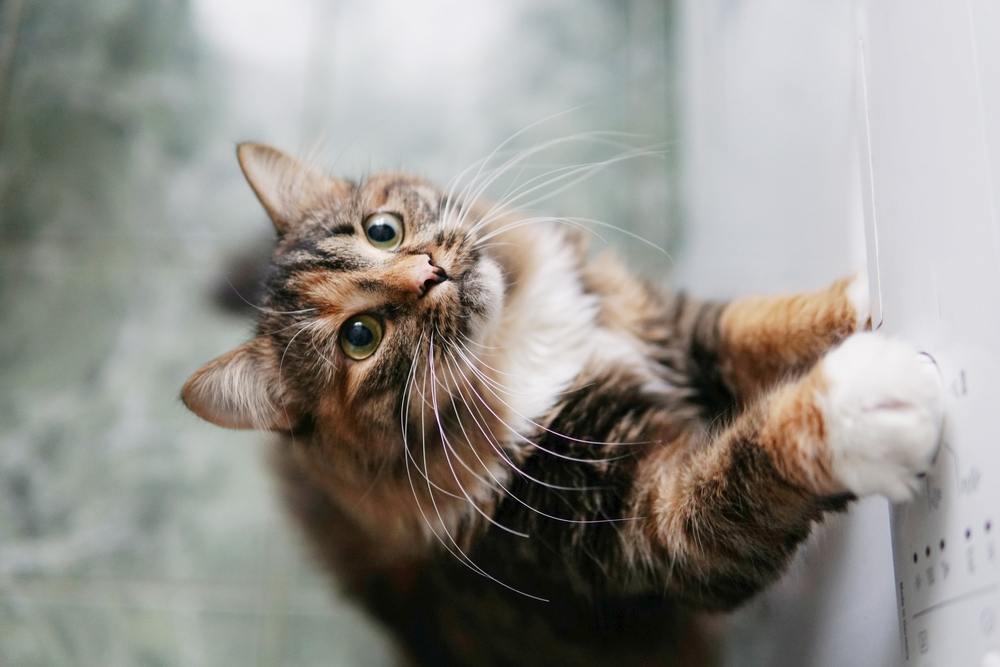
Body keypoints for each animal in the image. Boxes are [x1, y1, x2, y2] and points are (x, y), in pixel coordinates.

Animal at [182, 144, 944, 664]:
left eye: (383, 230)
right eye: (360, 336)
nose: (430, 274)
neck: (518, 344)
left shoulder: (675, 329)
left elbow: (764, 323)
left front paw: (864, 294)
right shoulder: (646, 523)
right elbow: (752, 457)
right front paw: (867, 403)